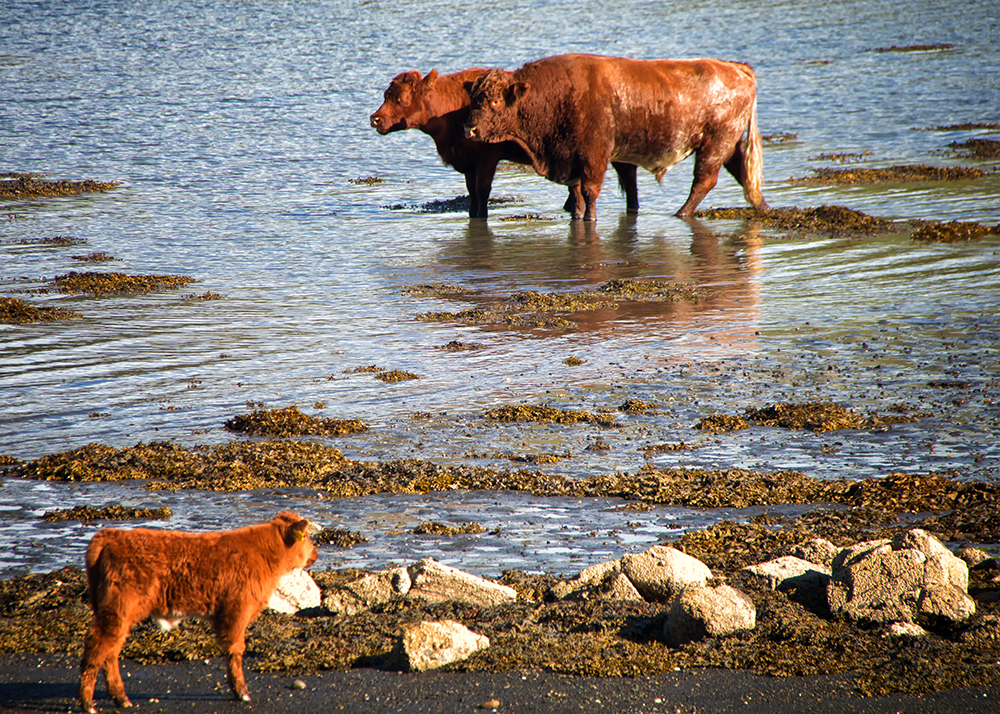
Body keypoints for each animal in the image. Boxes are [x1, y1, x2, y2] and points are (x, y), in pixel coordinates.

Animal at [79, 508, 318, 708]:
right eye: (306, 536)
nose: (316, 553)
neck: (265, 554)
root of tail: (113, 534)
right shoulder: (238, 610)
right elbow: (236, 650)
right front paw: (241, 692)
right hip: (119, 607)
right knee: (98, 645)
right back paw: (88, 703)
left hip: (115, 612)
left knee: (111, 650)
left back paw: (120, 698)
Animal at [370, 69, 640, 217]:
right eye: (386, 95)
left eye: (401, 98)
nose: (375, 119)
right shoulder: (469, 163)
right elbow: (472, 193)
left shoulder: (487, 159)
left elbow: (482, 191)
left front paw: (481, 216)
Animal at [464, 54, 768, 220]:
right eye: (474, 99)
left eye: (494, 102)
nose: (470, 129)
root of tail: (737, 68)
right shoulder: (572, 161)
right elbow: (577, 193)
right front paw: (578, 215)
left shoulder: (593, 157)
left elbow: (590, 191)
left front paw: (589, 219)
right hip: (727, 145)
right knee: (742, 173)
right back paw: (762, 206)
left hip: (715, 145)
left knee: (704, 181)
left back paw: (680, 213)